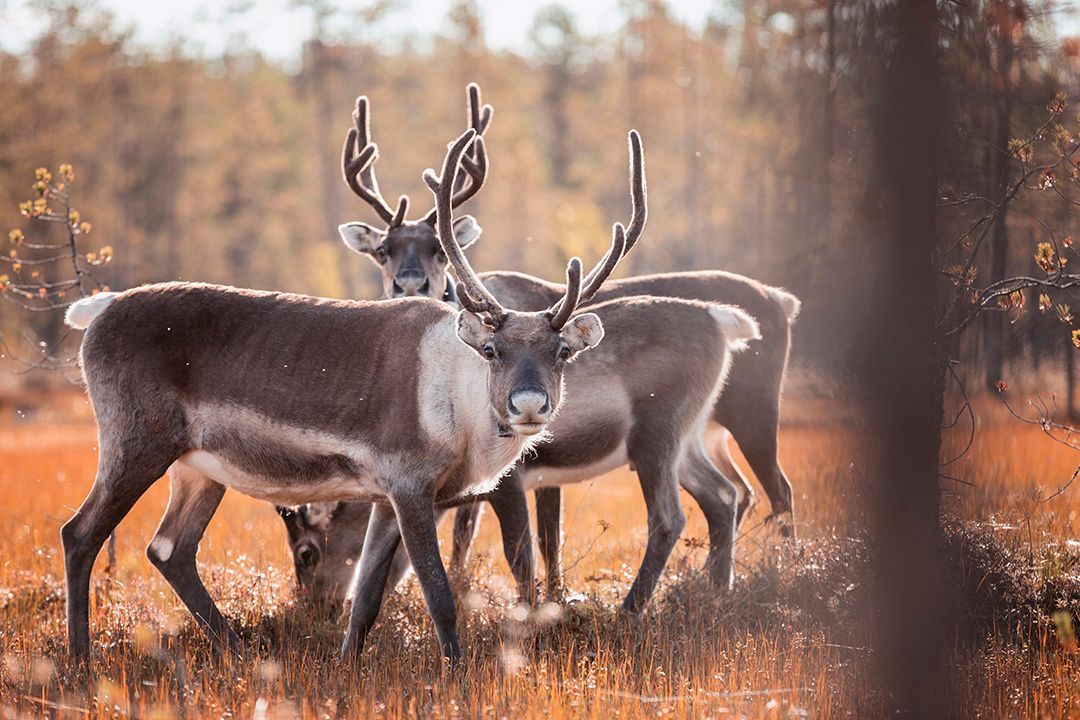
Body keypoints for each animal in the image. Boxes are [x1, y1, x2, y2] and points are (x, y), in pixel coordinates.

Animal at [58, 127, 629, 664]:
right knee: (80, 533)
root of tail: (99, 310)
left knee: (170, 549)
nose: (528, 404)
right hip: (136, 442)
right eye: (492, 349)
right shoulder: (410, 485)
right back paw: (81, 658)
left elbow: (366, 598)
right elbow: (438, 594)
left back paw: (238, 651)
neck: (461, 408)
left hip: (198, 468)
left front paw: (348, 663)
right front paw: (456, 673)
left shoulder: (383, 497)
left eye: (561, 351)